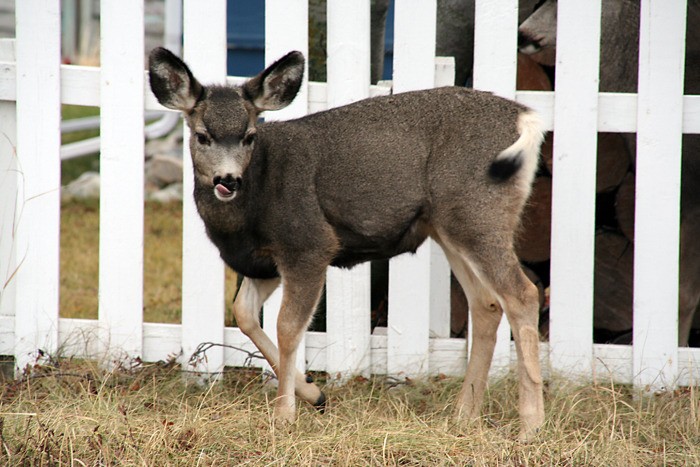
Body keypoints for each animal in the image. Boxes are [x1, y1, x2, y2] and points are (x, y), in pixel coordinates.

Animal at [149, 45, 548, 440]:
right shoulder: (266, 262)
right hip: (450, 226)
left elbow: (287, 326)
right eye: (202, 135)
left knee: (523, 294)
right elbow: (244, 314)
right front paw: (314, 394)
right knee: (486, 303)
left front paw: (284, 415)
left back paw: (530, 426)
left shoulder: (310, 243)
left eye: (248, 135)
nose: (228, 180)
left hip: (478, 213)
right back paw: (465, 415)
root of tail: (525, 118)